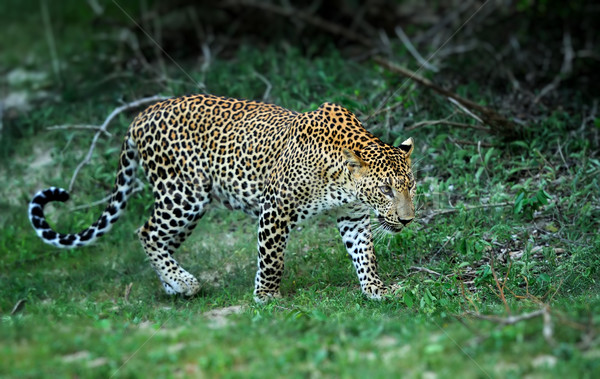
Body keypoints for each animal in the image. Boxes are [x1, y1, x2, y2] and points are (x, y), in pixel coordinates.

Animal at [28, 94, 414, 302]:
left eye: (410, 186)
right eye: (385, 189)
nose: (408, 219)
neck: (342, 179)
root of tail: (140, 115)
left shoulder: (354, 216)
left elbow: (365, 256)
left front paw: (377, 290)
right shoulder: (276, 210)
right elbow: (272, 259)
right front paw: (266, 297)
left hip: (186, 207)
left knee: (160, 240)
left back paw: (173, 285)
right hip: (183, 195)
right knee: (145, 232)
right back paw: (185, 282)